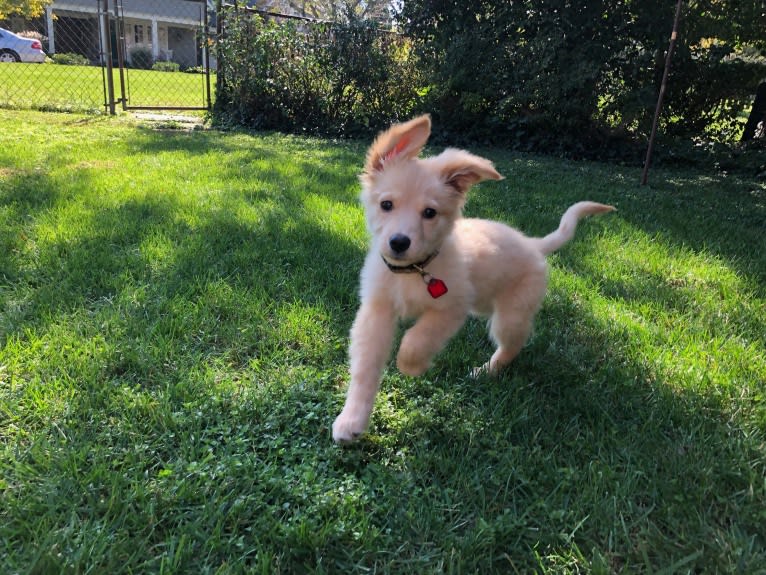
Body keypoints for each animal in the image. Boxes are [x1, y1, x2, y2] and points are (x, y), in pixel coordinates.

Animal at [332, 115, 616, 444]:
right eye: (386, 204)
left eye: (429, 213)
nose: (399, 243)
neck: (414, 270)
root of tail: (533, 244)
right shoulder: (376, 311)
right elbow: (365, 369)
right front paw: (351, 420)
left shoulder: (451, 309)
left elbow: (417, 337)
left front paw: (412, 365)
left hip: (510, 315)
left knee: (513, 345)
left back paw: (486, 371)